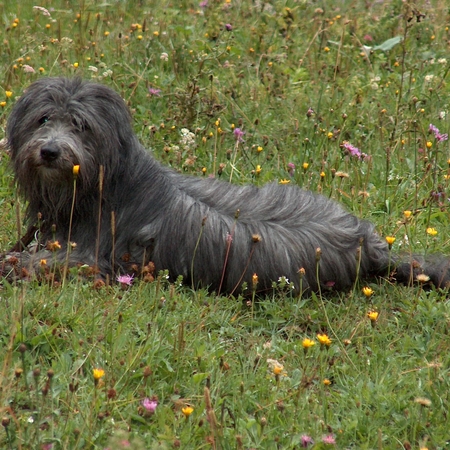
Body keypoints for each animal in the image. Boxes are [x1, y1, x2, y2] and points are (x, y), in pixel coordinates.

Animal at [3, 77, 450, 294]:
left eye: (82, 126)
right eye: (44, 119)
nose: (50, 152)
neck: (105, 186)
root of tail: (371, 244)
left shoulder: (93, 259)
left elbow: (35, 264)